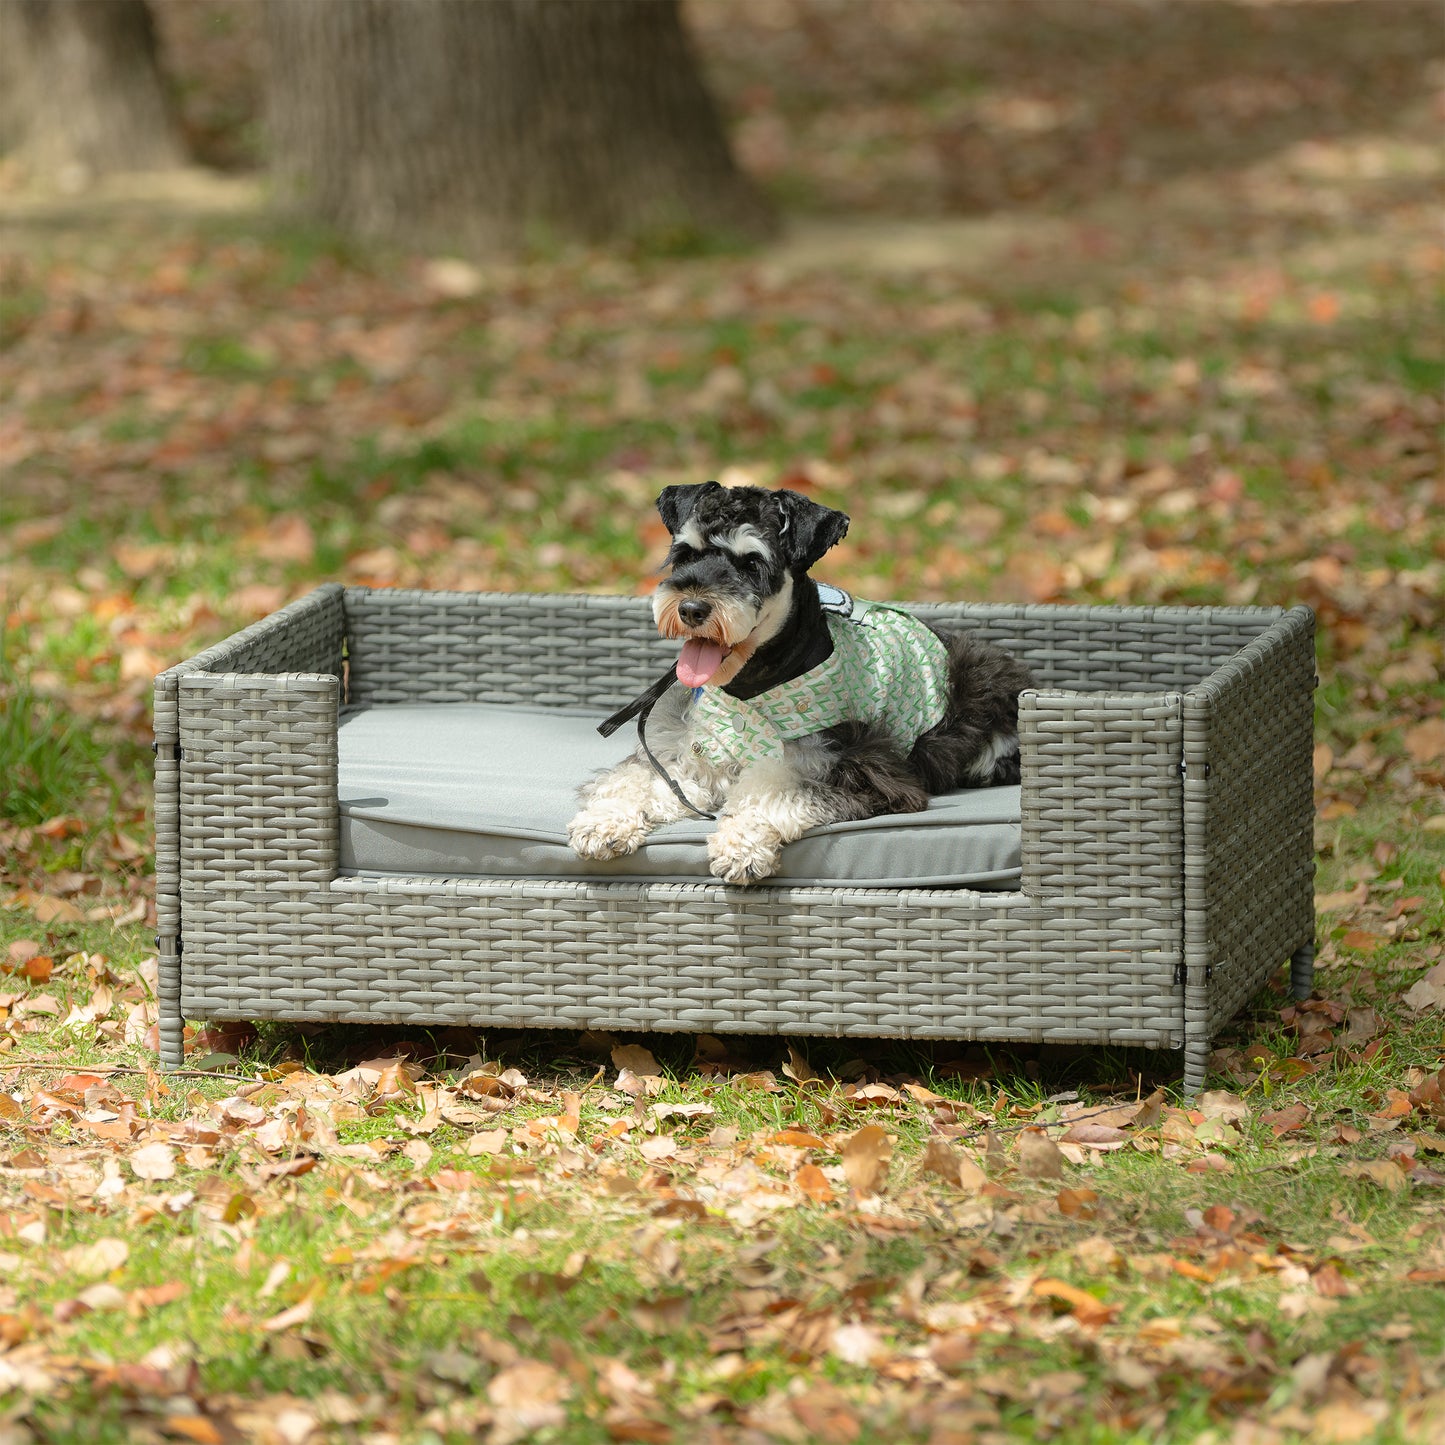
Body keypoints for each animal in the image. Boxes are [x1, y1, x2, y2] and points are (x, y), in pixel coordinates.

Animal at [569, 482, 1034, 878]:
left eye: (753, 564)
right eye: (686, 554)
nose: (691, 609)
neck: (750, 685)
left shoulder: (859, 770)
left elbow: (774, 791)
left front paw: (740, 845)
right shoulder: (687, 754)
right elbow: (634, 780)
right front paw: (603, 822)